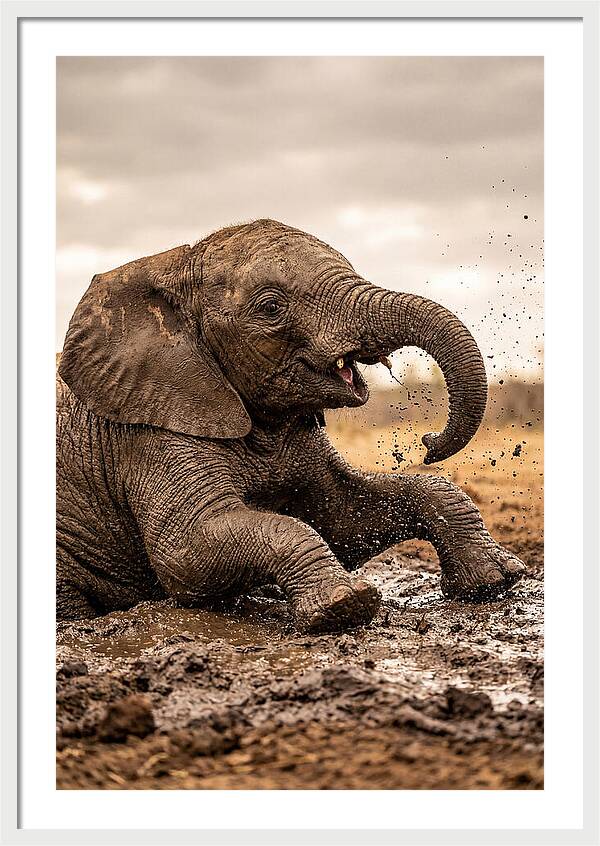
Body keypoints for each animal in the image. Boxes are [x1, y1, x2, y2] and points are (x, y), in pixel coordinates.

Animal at [56, 218, 525, 632]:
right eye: (271, 308)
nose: (428, 443)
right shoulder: (151, 432)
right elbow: (186, 553)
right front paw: (344, 605)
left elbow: (344, 518)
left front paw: (496, 580)